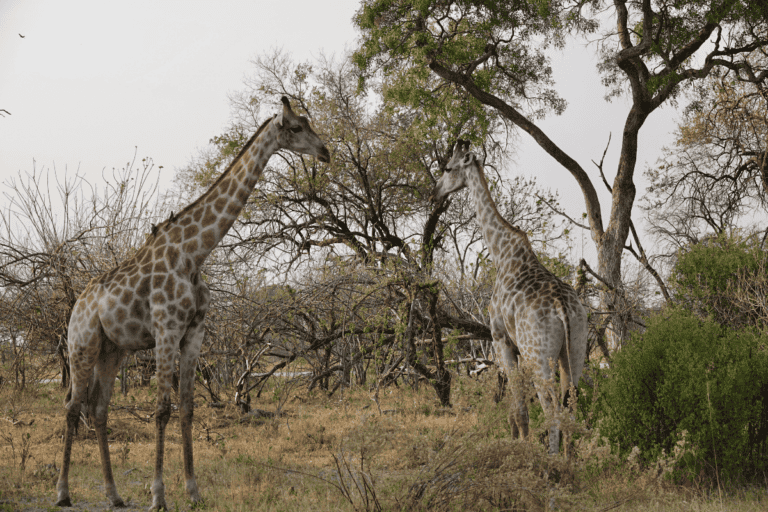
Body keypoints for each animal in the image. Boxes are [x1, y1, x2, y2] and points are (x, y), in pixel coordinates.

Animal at [56, 96, 330, 510]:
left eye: (309, 122)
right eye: (297, 127)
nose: (326, 151)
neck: (194, 254)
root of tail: (77, 305)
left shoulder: (194, 332)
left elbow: (186, 407)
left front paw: (193, 490)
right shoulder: (167, 329)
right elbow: (162, 410)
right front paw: (158, 496)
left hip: (112, 349)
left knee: (99, 409)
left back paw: (114, 494)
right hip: (81, 344)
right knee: (72, 407)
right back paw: (63, 492)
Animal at [432, 140, 587, 454]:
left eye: (448, 168)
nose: (434, 192)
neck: (501, 253)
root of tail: (562, 308)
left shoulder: (501, 340)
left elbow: (518, 408)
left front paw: (520, 448)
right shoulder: (516, 347)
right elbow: (517, 406)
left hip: (538, 355)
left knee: (551, 408)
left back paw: (552, 460)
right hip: (575, 349)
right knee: (571, 404)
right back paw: (568, 459)